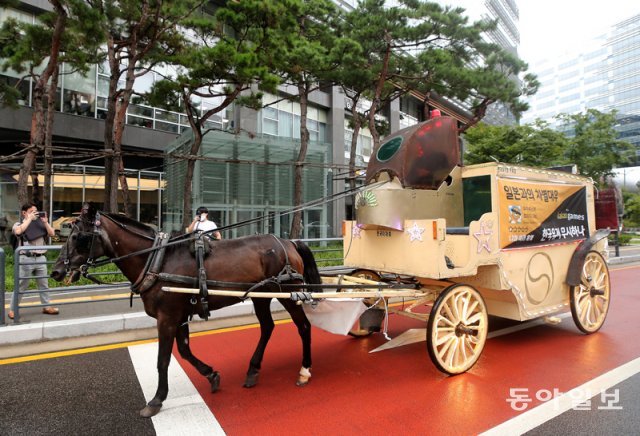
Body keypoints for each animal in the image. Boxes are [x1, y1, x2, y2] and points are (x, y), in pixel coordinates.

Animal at [50, 206, 322, 418]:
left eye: (79, 236)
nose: (56, 271)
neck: (157, 260)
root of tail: (289, 242)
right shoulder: (179, 317)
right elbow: (184, 351)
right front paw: (211, 375)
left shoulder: (167, 318)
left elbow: (163, 359)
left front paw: (157, 399)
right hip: (261, 295)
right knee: (267, 327)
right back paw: (253, 370)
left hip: (290, 293)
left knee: (303, 326)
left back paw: (305, 370)